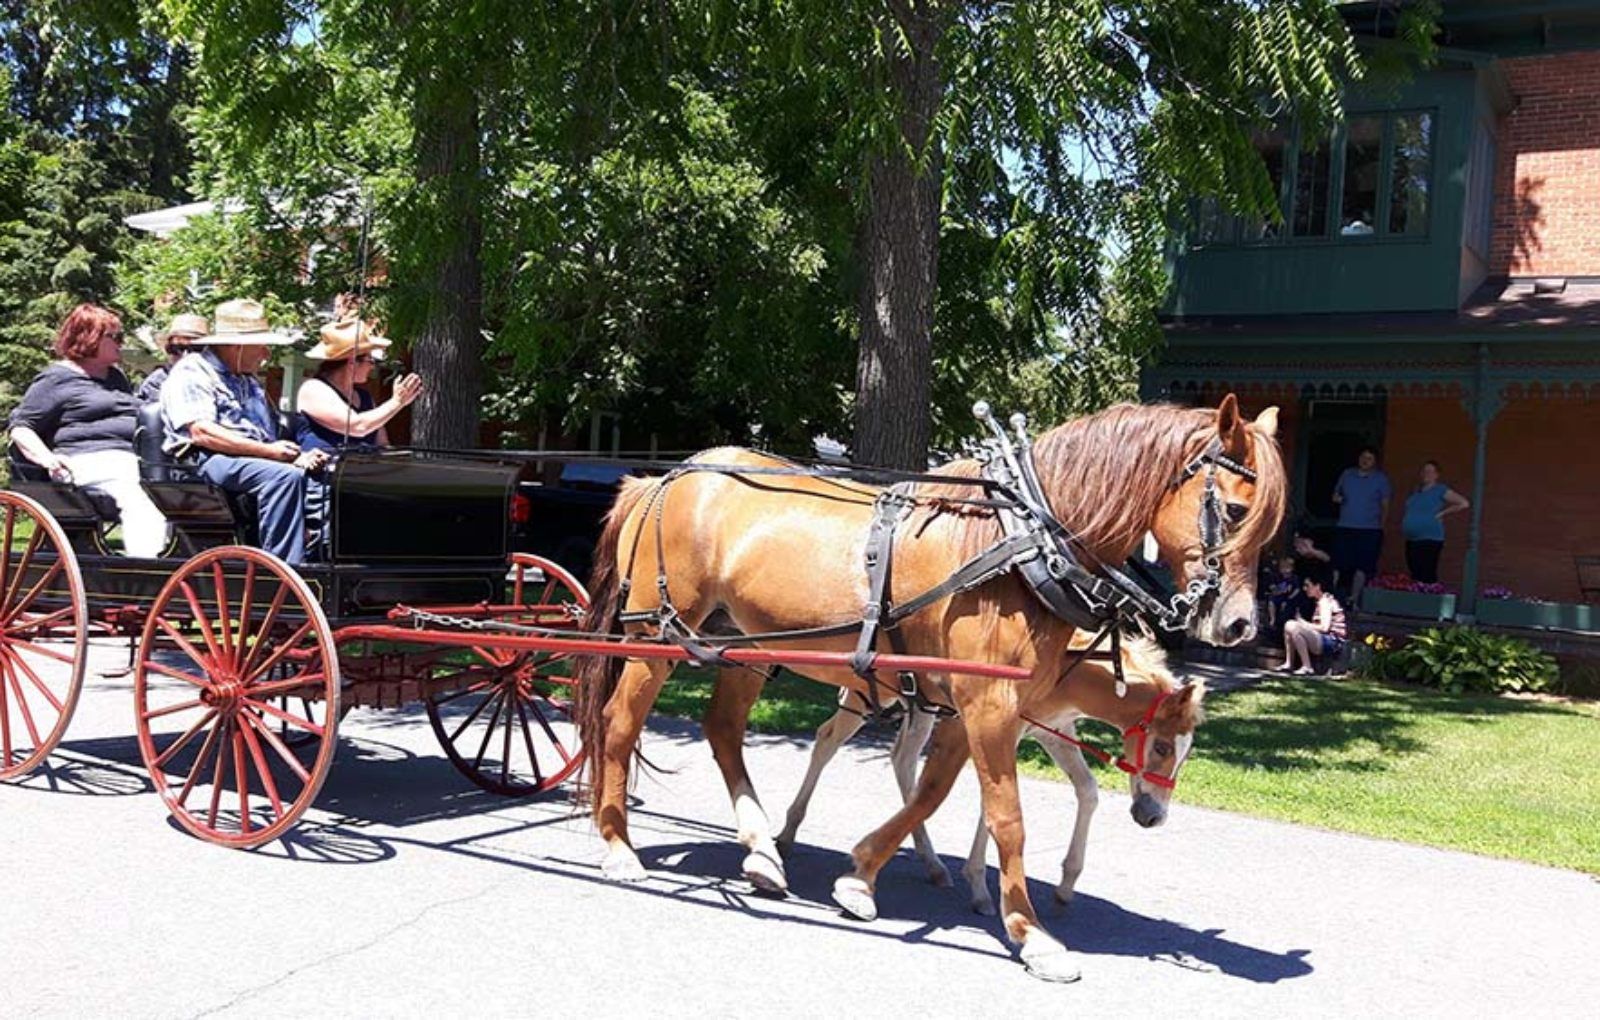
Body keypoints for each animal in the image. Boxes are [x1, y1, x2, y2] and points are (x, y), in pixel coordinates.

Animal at [771, 633, 1185, 916]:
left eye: (1183, 755)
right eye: (1162, 748)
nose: (1153, 816)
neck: (1071, 672)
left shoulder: (1054, 731)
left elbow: (1087, 790)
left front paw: (1066, 884)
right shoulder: (999, 730)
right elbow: (992, 803)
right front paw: (982, 890)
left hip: (917, 708)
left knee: (902, 759)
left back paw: (932, 864)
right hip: (872, 696)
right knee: (829, 740)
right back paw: (789, 833)